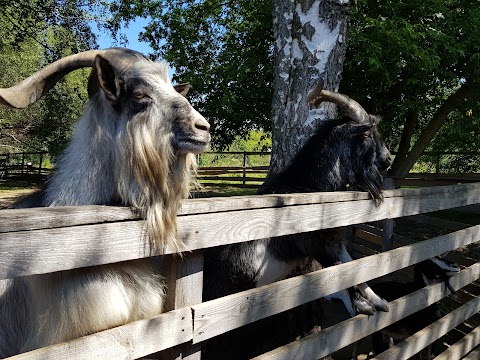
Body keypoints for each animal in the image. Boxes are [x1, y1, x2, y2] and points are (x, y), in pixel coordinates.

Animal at [202, 83, 394, 358]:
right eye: (367, 135)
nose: (388, 159)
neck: (309, 188)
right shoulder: (316, 245)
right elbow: (343, 272)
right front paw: (365, 305)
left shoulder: (333, 243)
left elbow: (354, 267)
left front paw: (378, 302)